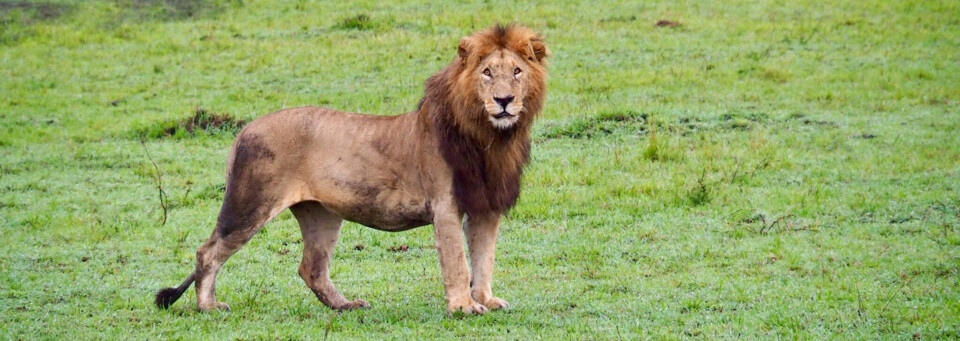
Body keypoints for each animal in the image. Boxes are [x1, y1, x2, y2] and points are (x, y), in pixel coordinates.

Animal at [154, 24, 552, 314]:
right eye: (487, 73)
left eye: (517, 71)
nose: (504, 100)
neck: (491, 137)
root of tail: (244, 129)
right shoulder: (446, 207)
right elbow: (458, 263)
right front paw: (463, 307)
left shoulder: (486, 206)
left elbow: (484, 259)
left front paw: (485, 300)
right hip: (250, 203)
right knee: (207, 253)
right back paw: (208, 306)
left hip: (321, 214)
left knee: (311, 268)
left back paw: (345, 306)